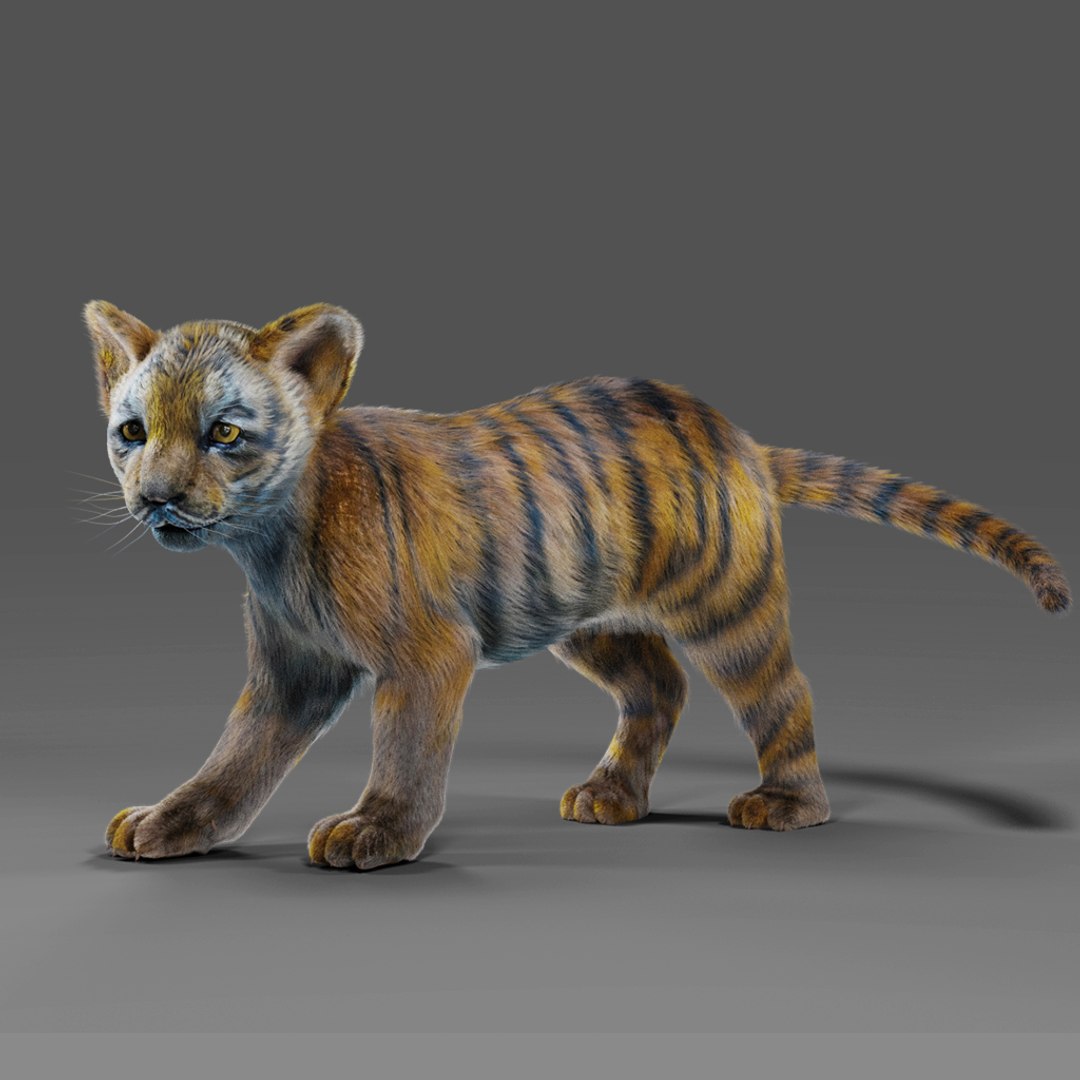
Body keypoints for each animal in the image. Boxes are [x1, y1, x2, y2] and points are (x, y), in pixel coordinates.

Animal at [84, 300, 1071, 871]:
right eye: (134, 431)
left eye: (223, 432)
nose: (157, 496)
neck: (270, 541)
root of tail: (741, 436)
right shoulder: (293, 672)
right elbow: (236, 759)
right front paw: (174, 822)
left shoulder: (426, 656)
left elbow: (404, 749)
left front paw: (380, 830)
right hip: (589, 617)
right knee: (659, 688)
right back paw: (612, 797)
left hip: (728, 606)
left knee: (781, 692)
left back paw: (787, 807)